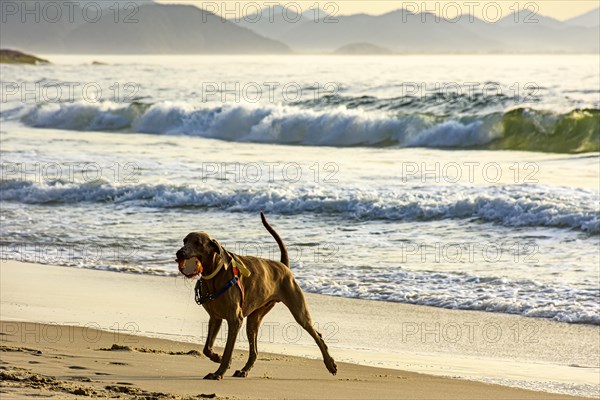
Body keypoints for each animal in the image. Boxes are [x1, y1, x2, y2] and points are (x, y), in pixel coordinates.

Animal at [175, 211, 338, 380]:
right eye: (184, 241)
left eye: (198, 243)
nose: (179, 253)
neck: (214, 274)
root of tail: (283, 265)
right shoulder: (215, 318)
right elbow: (207, 348)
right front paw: (216, 357)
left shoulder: (235, 320)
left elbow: (228, 351)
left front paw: (219, 372)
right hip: (255, 317)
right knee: (254, 351)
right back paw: (244, 370)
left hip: (298, 310)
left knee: (316, 334)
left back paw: (330, 364)